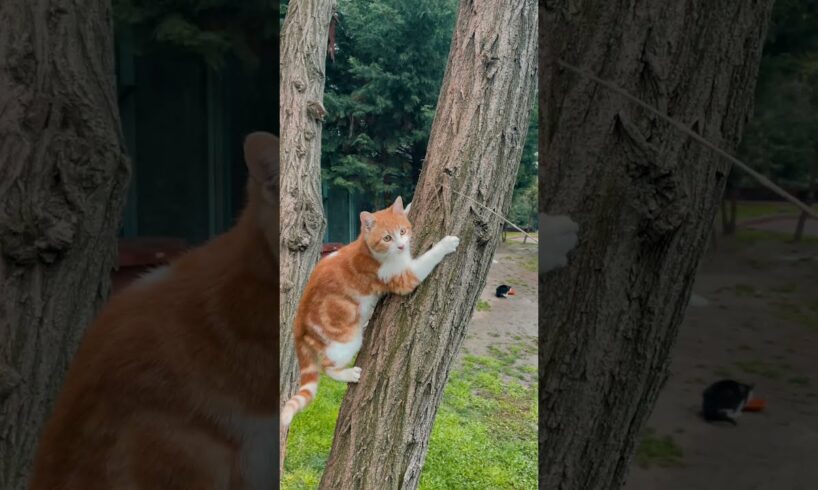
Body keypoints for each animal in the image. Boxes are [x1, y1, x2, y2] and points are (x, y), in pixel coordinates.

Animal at [280, 197, 460, 426]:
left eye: (402, 231)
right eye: (387, 238)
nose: (401, 245)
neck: (367, 249)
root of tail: (298, 323)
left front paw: (407, 205)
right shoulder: (403, 278)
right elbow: (427, 259)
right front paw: (446, 244)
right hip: (347, 339)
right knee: (326, 367)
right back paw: (349, 374)